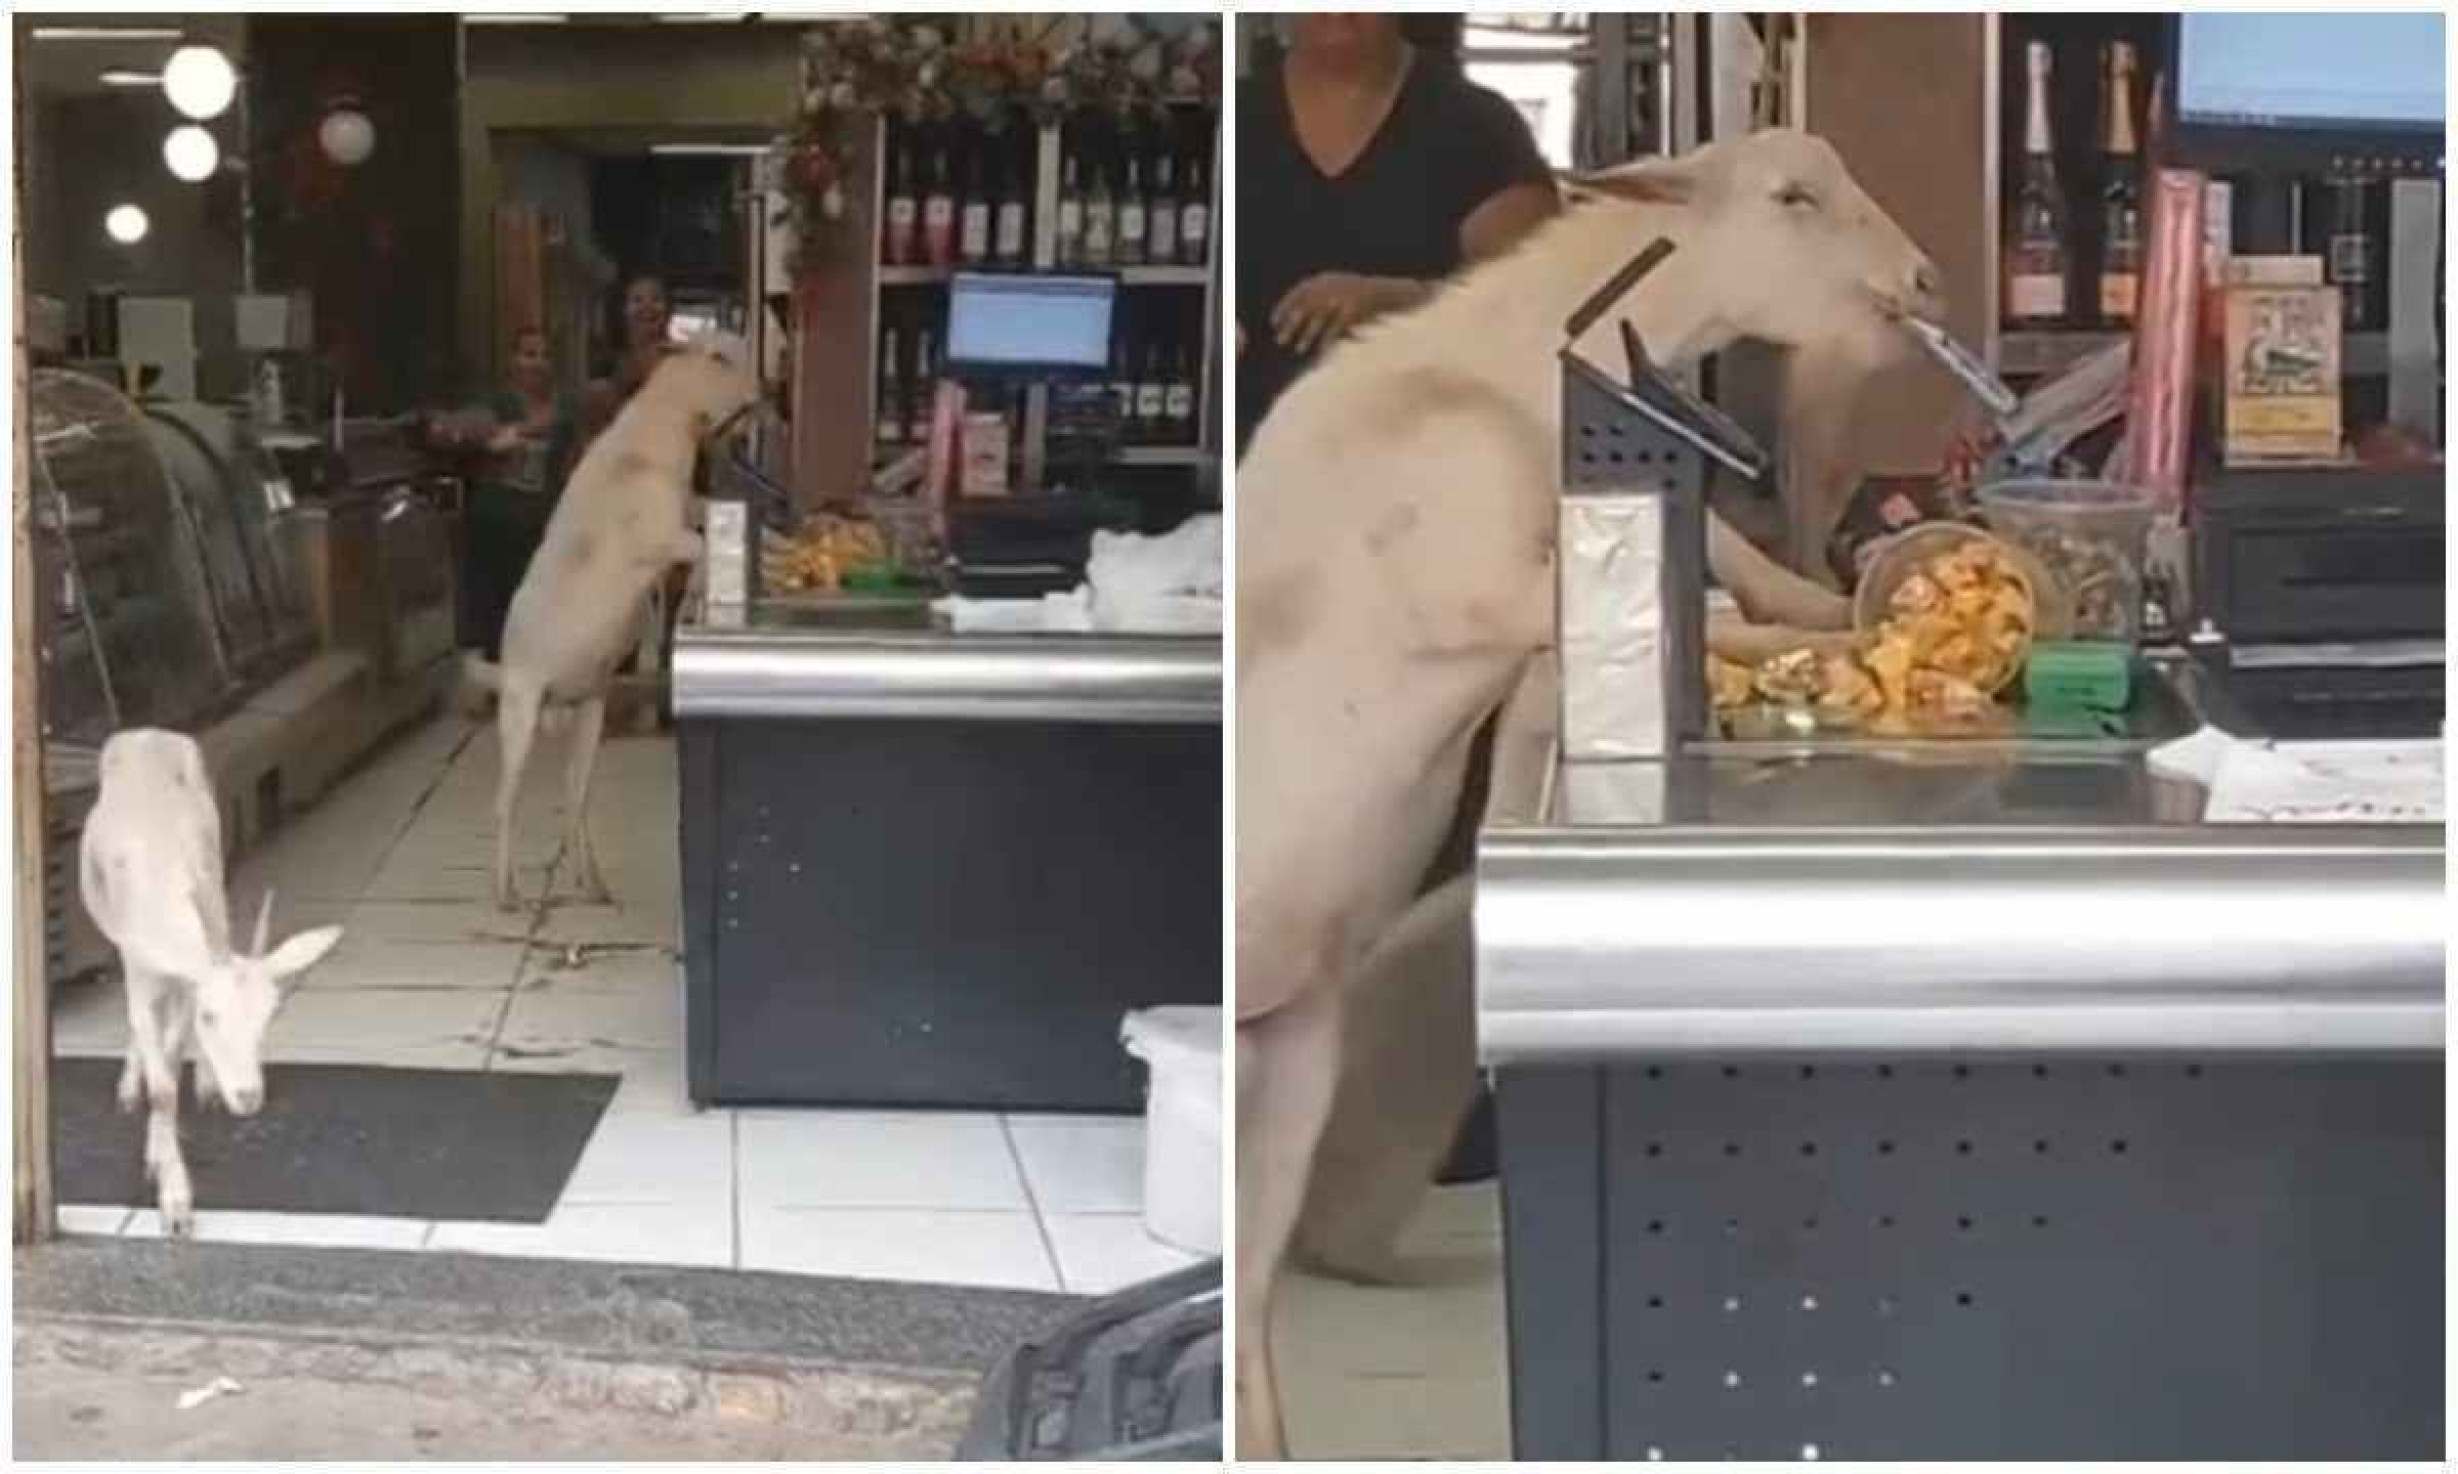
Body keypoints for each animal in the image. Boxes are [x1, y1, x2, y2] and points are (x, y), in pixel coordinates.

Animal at [73, 732, 344, 1238]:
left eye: (270, 1018)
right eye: (212, 1016)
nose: (249, 1097)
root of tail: (148, 732)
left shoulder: (186, 984)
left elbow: (172, 1059)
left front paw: (163, 1156)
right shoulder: (146, 976)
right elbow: (161, 1083)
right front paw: (174, 1201)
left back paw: (203, 1083)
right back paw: (130, 1086)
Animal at [462, 336, 761, 908]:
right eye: (729, 358)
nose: (766, 394)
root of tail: (509, 671)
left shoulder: (685, 509)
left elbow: (703, 520)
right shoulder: (660, 536)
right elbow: (698, 546)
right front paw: (694, 594)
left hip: (590, 713)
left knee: (575, 797)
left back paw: (594, 884)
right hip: (520, 714)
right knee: (504, 802)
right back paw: (507, 894)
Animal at [1238, 129, 1946, 1464]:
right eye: (1791, 195)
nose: (1925, 281)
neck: (1500, 374)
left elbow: (1734, 569)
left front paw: (1862, 595)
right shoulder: (1488, 590)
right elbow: (1703, 606)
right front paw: (1848, 640)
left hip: (1293, 1049)